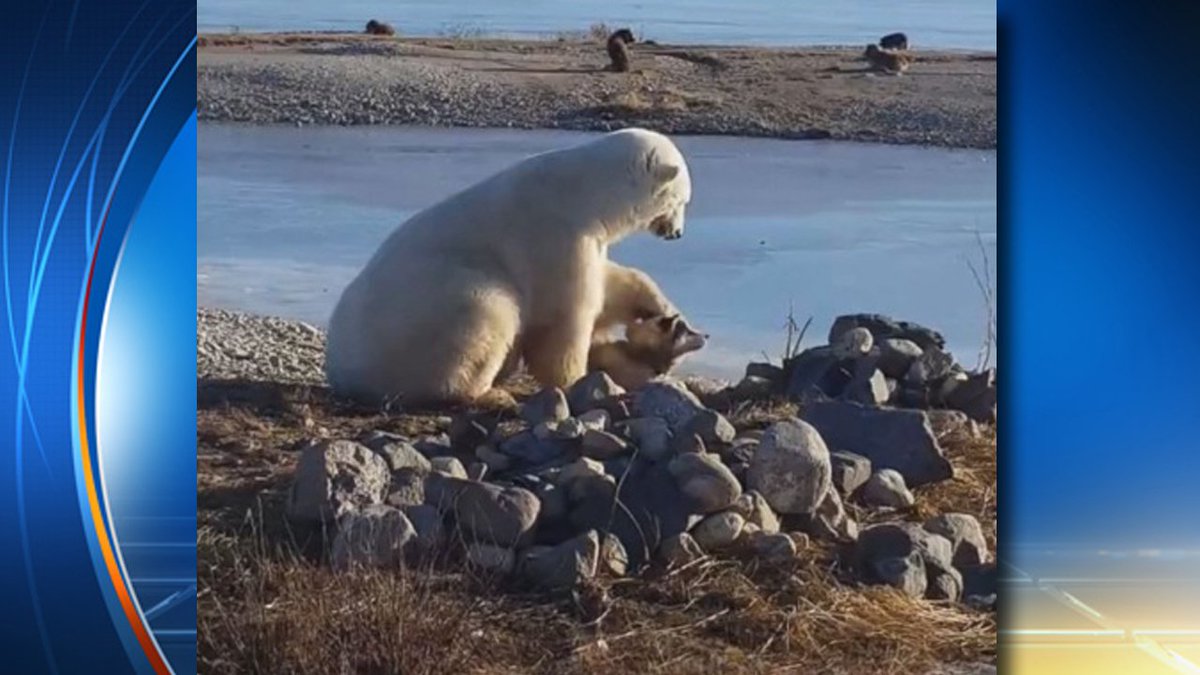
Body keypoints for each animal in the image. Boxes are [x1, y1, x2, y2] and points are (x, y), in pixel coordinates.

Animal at [325, 128, 692, 406]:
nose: (677, 233)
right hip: (427, 311)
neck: (583, 192)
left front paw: (660, 308)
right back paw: (488, 394)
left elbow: (609, 283)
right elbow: (563, 315)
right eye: (682, 200)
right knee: (487, 312)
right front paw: (577, 379)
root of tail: (341, 370)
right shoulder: (553, 234)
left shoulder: (587, 239)